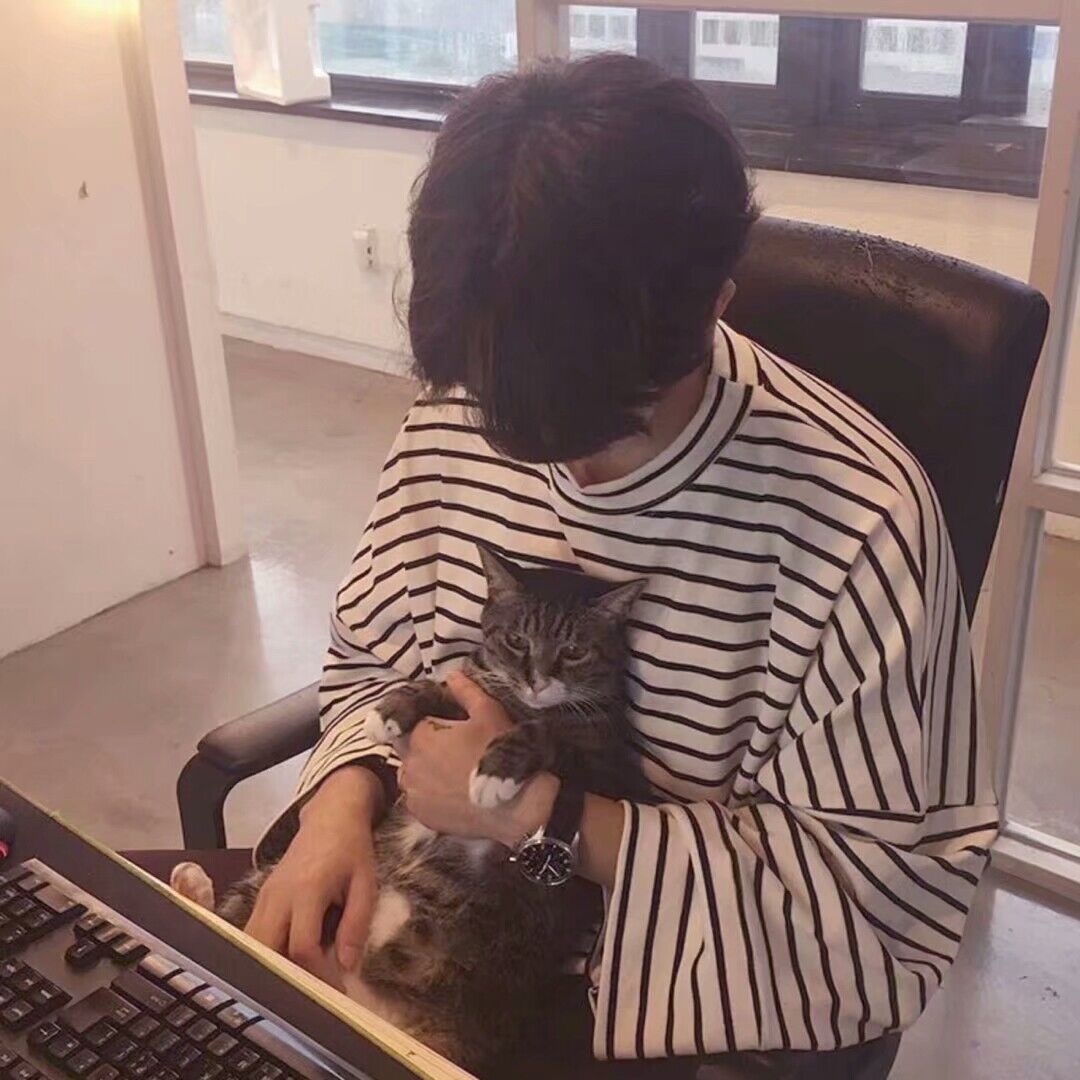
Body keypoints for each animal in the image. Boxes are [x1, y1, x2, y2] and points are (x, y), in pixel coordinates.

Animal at [171, 545, 650, 1071]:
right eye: (516, 640)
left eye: (574, 651)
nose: (537, 682)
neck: (519, 704)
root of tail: (356, 1002)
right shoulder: (473, 686)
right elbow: (439, 685)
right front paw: (390, 711)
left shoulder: (603, 765)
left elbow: (546, 734)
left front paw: (495, 772)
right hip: (261, 893)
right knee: (229, 917)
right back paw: (189, 885)